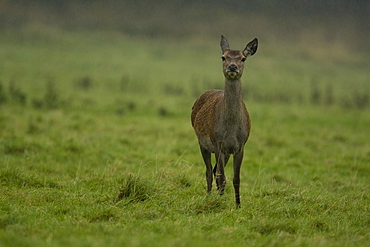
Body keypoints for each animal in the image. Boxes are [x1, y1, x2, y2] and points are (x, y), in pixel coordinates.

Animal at [191, 34, 258, 207]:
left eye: (243, 58)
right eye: (223, 57)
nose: (232, 67)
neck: (231, 129)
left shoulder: (240, 146)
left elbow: (236, 179)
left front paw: (238, 205)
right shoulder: (217, 143)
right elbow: (222, 177)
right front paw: (219, 202)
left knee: (215, 171)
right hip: (203, 144)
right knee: (210, 171)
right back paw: (209, 195)